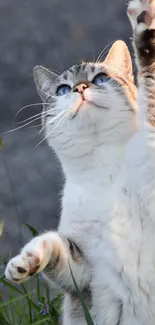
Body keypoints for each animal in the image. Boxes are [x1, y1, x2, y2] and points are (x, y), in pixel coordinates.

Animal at [4, 0, 155, 322]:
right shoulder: (87, 273)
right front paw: (25, 261)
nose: (81, 87)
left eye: (100, 79)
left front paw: (144, 23)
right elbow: (55, 242)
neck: (103, 169)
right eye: (63, 89)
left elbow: (149, 84)